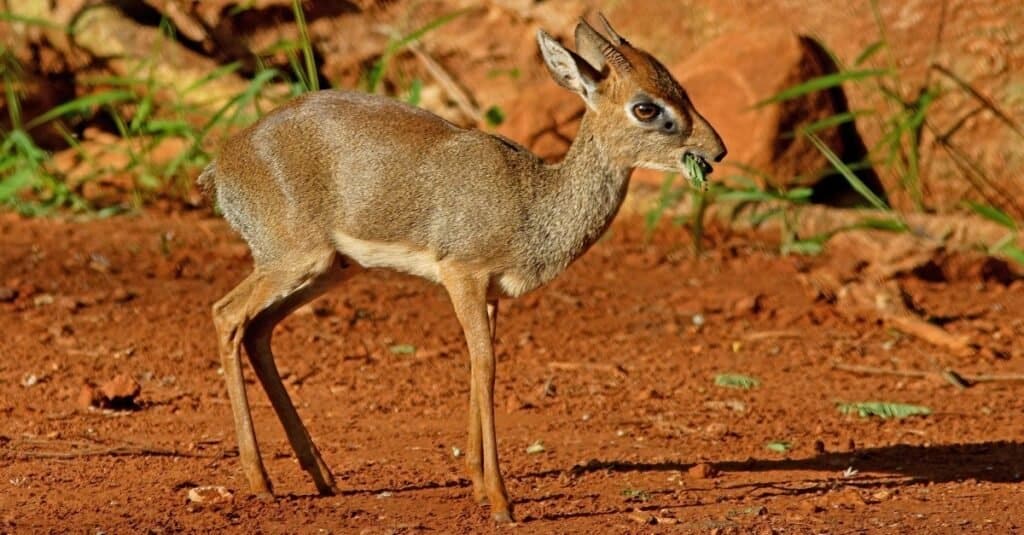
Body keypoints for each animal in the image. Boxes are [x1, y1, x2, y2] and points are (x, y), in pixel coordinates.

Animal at [199, 14, 724, 522]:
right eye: (646, 108)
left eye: (682, 90)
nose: (716, 151)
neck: (531, 200)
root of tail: (222, 163)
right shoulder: (462, 276)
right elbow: (485, 365)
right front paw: (500, 502)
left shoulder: (492, 294)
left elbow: (478, 365)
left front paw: (475, 483)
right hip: (291, 260)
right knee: (226, 315)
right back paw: (260, 481)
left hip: (329, 269)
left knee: (257, 329)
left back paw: (321, 475)